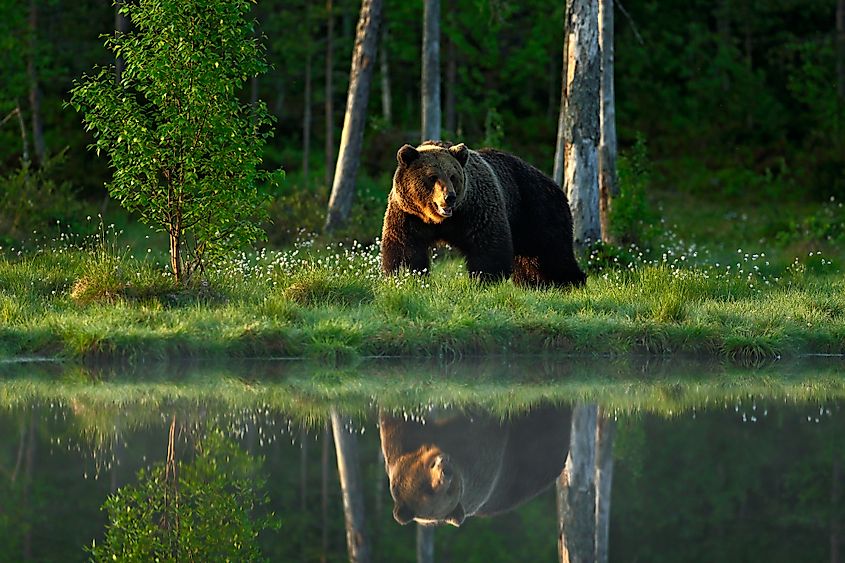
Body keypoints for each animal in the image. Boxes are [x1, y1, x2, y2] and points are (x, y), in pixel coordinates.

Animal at [380, 141, 586, 287]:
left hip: (537, 209)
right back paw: (534, 283)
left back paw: (569, 281)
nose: (449, 197)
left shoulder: (476, 209)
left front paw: (485, 279)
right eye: (432, 177)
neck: (439, 220)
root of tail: (554, 184)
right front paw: (405, 276)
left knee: (552, 252)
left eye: (453, 176)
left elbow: (488, 245)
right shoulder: (408, 215)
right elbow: (405, 248)